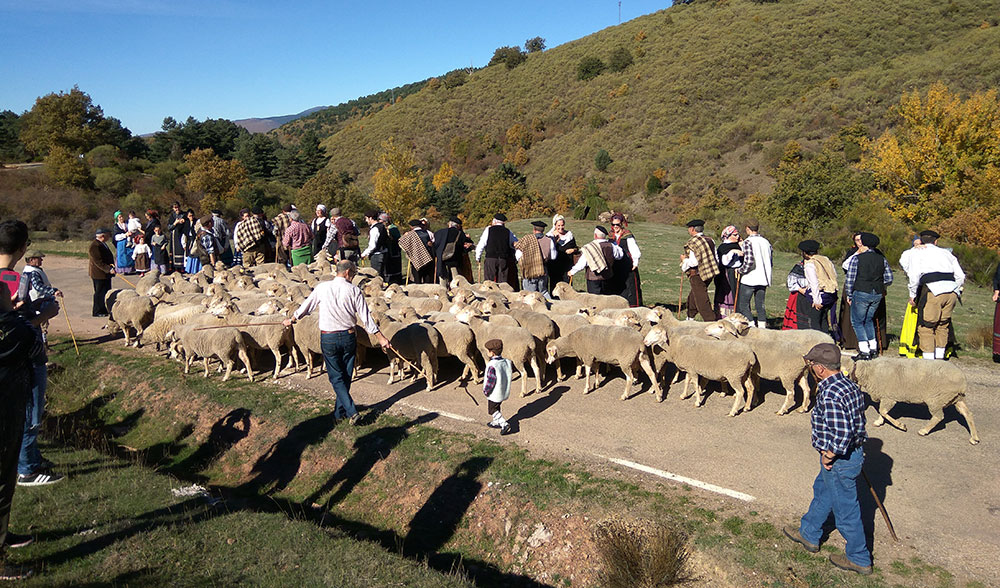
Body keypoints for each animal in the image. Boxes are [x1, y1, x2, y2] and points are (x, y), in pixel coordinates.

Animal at [847, 357, 980, 444]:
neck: (869, 371)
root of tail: (962, 381)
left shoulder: (889, 397)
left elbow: (883, 411)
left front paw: (901, 426)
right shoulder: (886, 396)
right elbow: (882, 412)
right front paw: (879, 421)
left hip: (936, 399)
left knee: (938, 417)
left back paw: (924, 430)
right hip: (957, 399)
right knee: (968, 414)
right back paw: (974, 438)